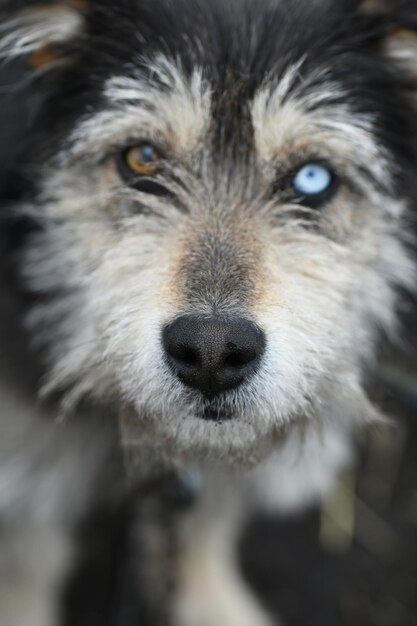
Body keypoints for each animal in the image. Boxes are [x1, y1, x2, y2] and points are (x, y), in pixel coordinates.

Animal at [0, 0, 414, 620]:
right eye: (142, 158)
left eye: (313, 177)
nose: (212, 352)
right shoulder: (26, 468)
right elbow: (27, 563)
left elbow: (209, 520)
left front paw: (214, 605)